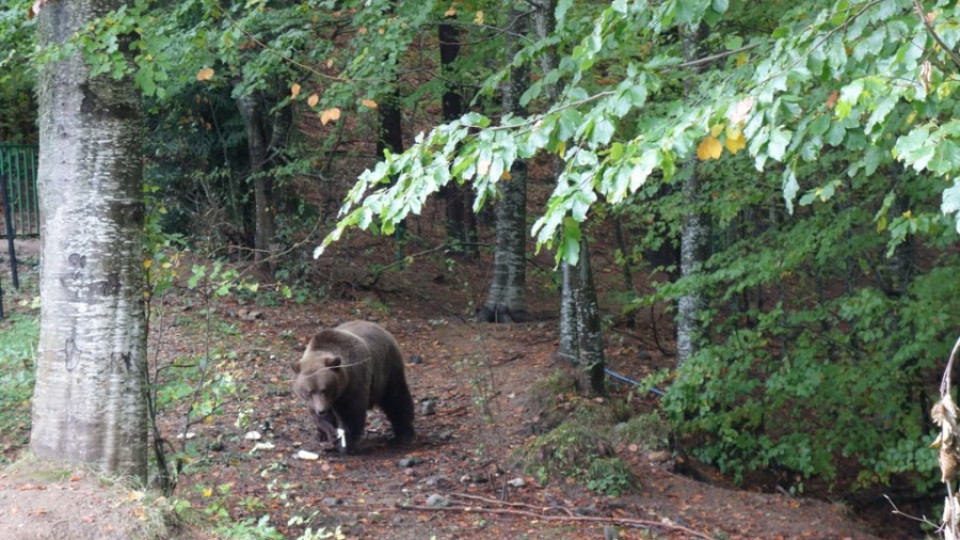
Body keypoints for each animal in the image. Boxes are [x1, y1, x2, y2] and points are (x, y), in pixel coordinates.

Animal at [290, 320, 414, 452]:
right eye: (309, 392)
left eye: (325, 389)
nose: (322, 410)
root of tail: (381, 328)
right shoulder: (316, 401)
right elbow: (320, 417)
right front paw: (331, 434)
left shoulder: (353, 384)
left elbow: (351, 413)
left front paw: (344, 444)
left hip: (387, 368)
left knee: (396, 398)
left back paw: (404, 433)